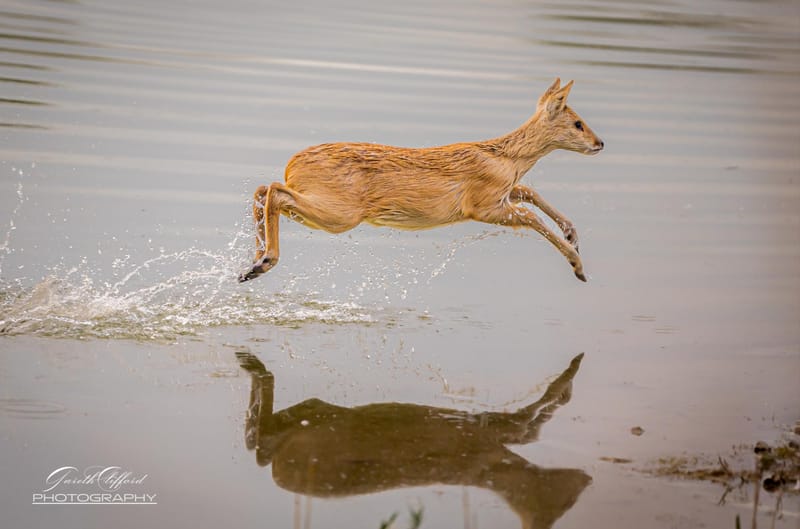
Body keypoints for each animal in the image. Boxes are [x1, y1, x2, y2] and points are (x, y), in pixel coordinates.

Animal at [239, 78, 603, 283]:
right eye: (578, 123)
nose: (600, 143)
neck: (506, 158)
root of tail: (293, 164)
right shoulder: (482, 206)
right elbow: (530, 215)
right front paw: (578, 266)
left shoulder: (501, 194)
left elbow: (528, 191)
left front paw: (573, 235)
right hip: (340, 214)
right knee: (273, 190)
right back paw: (263, 262)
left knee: (263, 188)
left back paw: (249, 266)